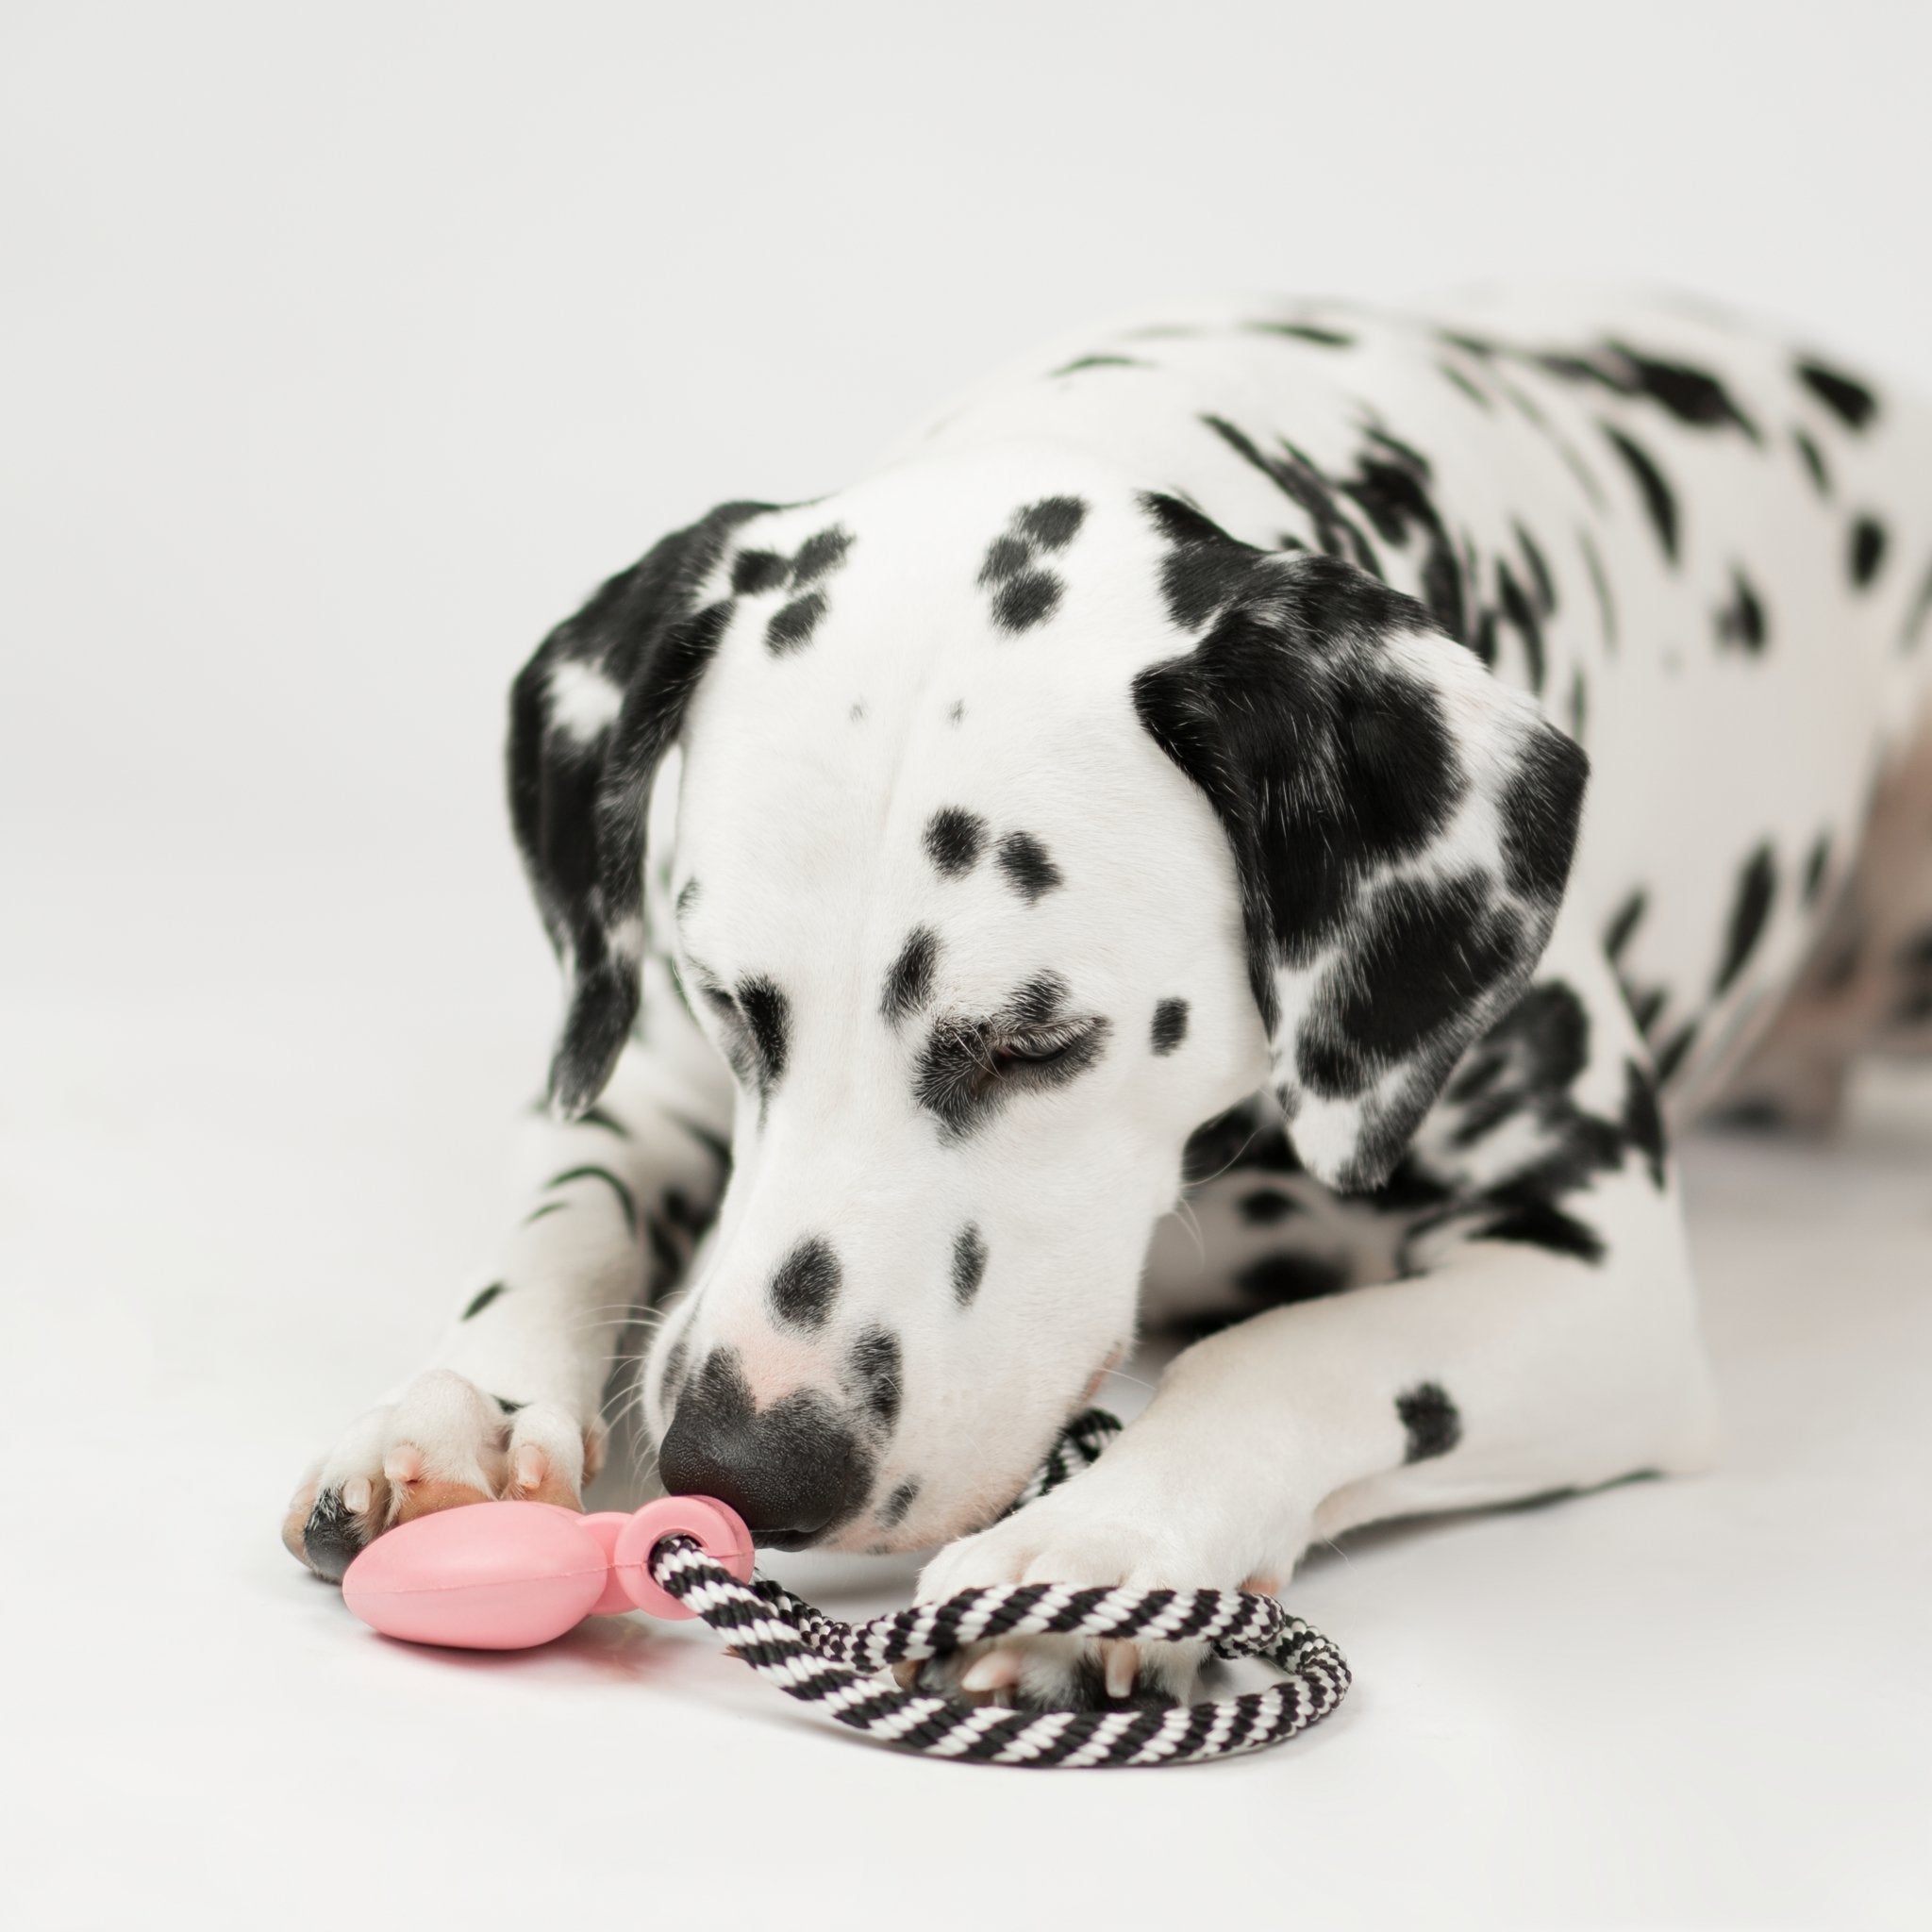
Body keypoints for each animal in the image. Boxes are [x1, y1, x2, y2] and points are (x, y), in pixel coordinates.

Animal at [282, 282, 1932, 1707]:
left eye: (1039, 1040)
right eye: (730, 1001)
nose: (747, 1466)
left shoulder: (1602, 1271)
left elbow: (1291, 1351)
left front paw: (1102, 1545)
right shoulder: (643, 1074)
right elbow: (565, 1223)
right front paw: (459, 1408)